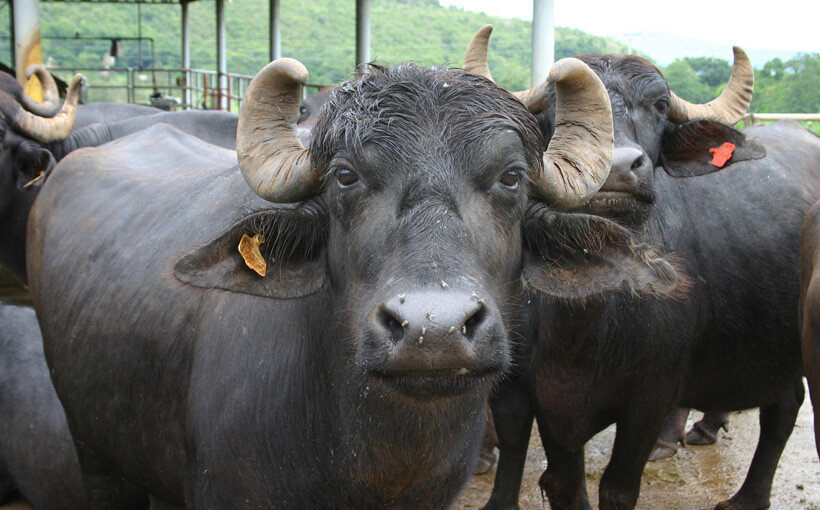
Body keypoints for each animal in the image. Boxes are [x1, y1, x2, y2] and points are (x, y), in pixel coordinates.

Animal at [468, 25, 820, 510]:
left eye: (659, 105)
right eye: (559, 107)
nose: (617, 168)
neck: (583, 320)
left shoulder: (650, 399)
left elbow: (617, 488)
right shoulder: (538, 396)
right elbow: (563, 482)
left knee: (784, 408)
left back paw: (743, 493)